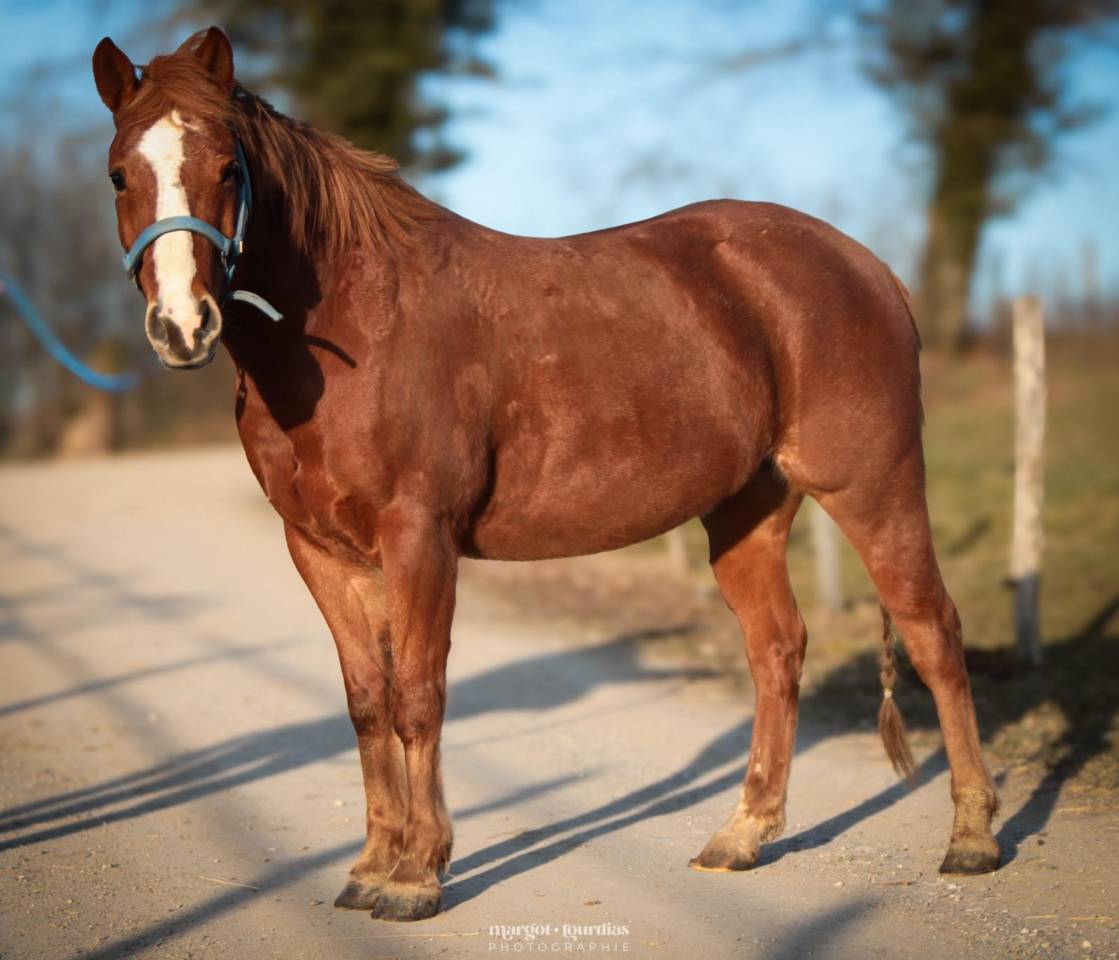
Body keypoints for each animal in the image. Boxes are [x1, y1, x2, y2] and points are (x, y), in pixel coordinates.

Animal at [92, 27, 1000, 922]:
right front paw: (372, 865)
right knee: (776, 648)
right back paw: (742, 835)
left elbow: (418, 694)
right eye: (119, 174)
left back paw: (971, 836)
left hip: (872, 488)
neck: (356, 323)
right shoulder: (319, 549)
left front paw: (418, 874)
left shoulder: (419, 538)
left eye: (227, 169)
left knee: (932, 633)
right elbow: (366, 703)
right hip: (748, 508)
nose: (182, 325)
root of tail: (866, 267)